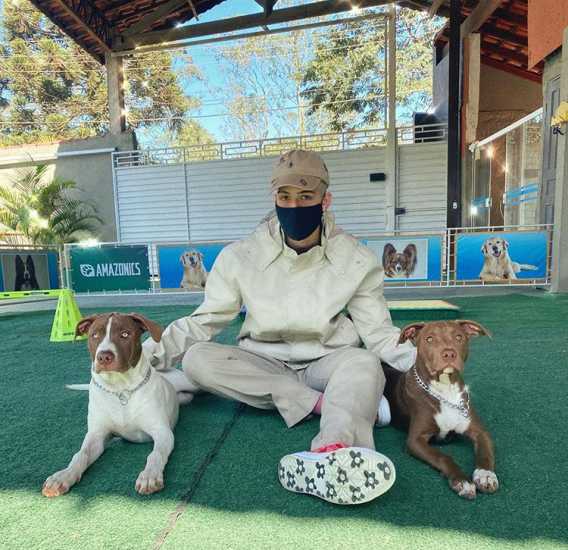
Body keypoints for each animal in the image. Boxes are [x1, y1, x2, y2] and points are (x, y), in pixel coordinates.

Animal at [41, 314, 196, 500]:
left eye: (125, 334)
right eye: (94, 335)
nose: (103, 356)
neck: (120, 389)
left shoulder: (162, 432)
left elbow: (155, 454)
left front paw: (149, 475)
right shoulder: (96, 435)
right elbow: (80, 455)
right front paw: (63, 476)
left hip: (189, 383)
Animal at [384, 322, 500, 502]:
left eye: (459, 337)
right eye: (429, 339)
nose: (449, 353)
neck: (446, 392)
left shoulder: (480, 432)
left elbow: (485, 453)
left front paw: (485, 475)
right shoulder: (415, 440)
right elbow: (443, 456)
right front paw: (462, 481)